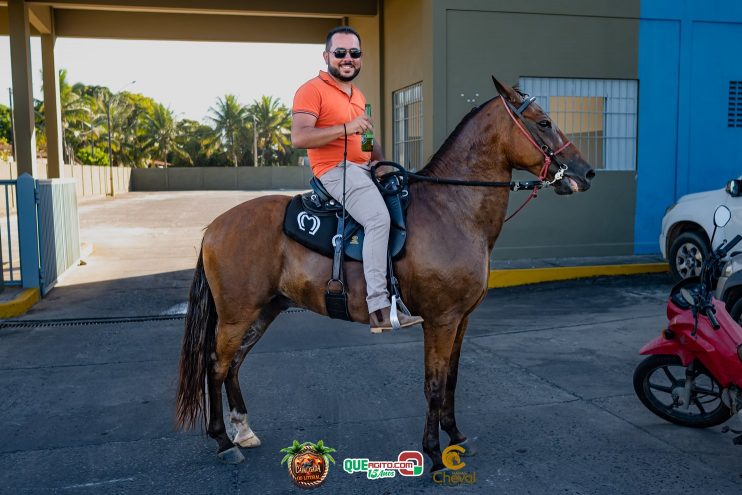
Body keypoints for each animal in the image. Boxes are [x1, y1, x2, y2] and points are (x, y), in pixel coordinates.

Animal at [177, 78, 596, 472]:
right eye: (544, 122)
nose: (585, 172)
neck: (453, 208)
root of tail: (214, 226)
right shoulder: (441, 321)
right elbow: (434, 385)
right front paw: (434, 453)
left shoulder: (461, 320)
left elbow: (452, 381)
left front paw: (456, 436)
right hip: (237, 315)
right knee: (216, 365)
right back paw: (223, 441)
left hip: (264, 310)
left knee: (234, 364)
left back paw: (243, 430)